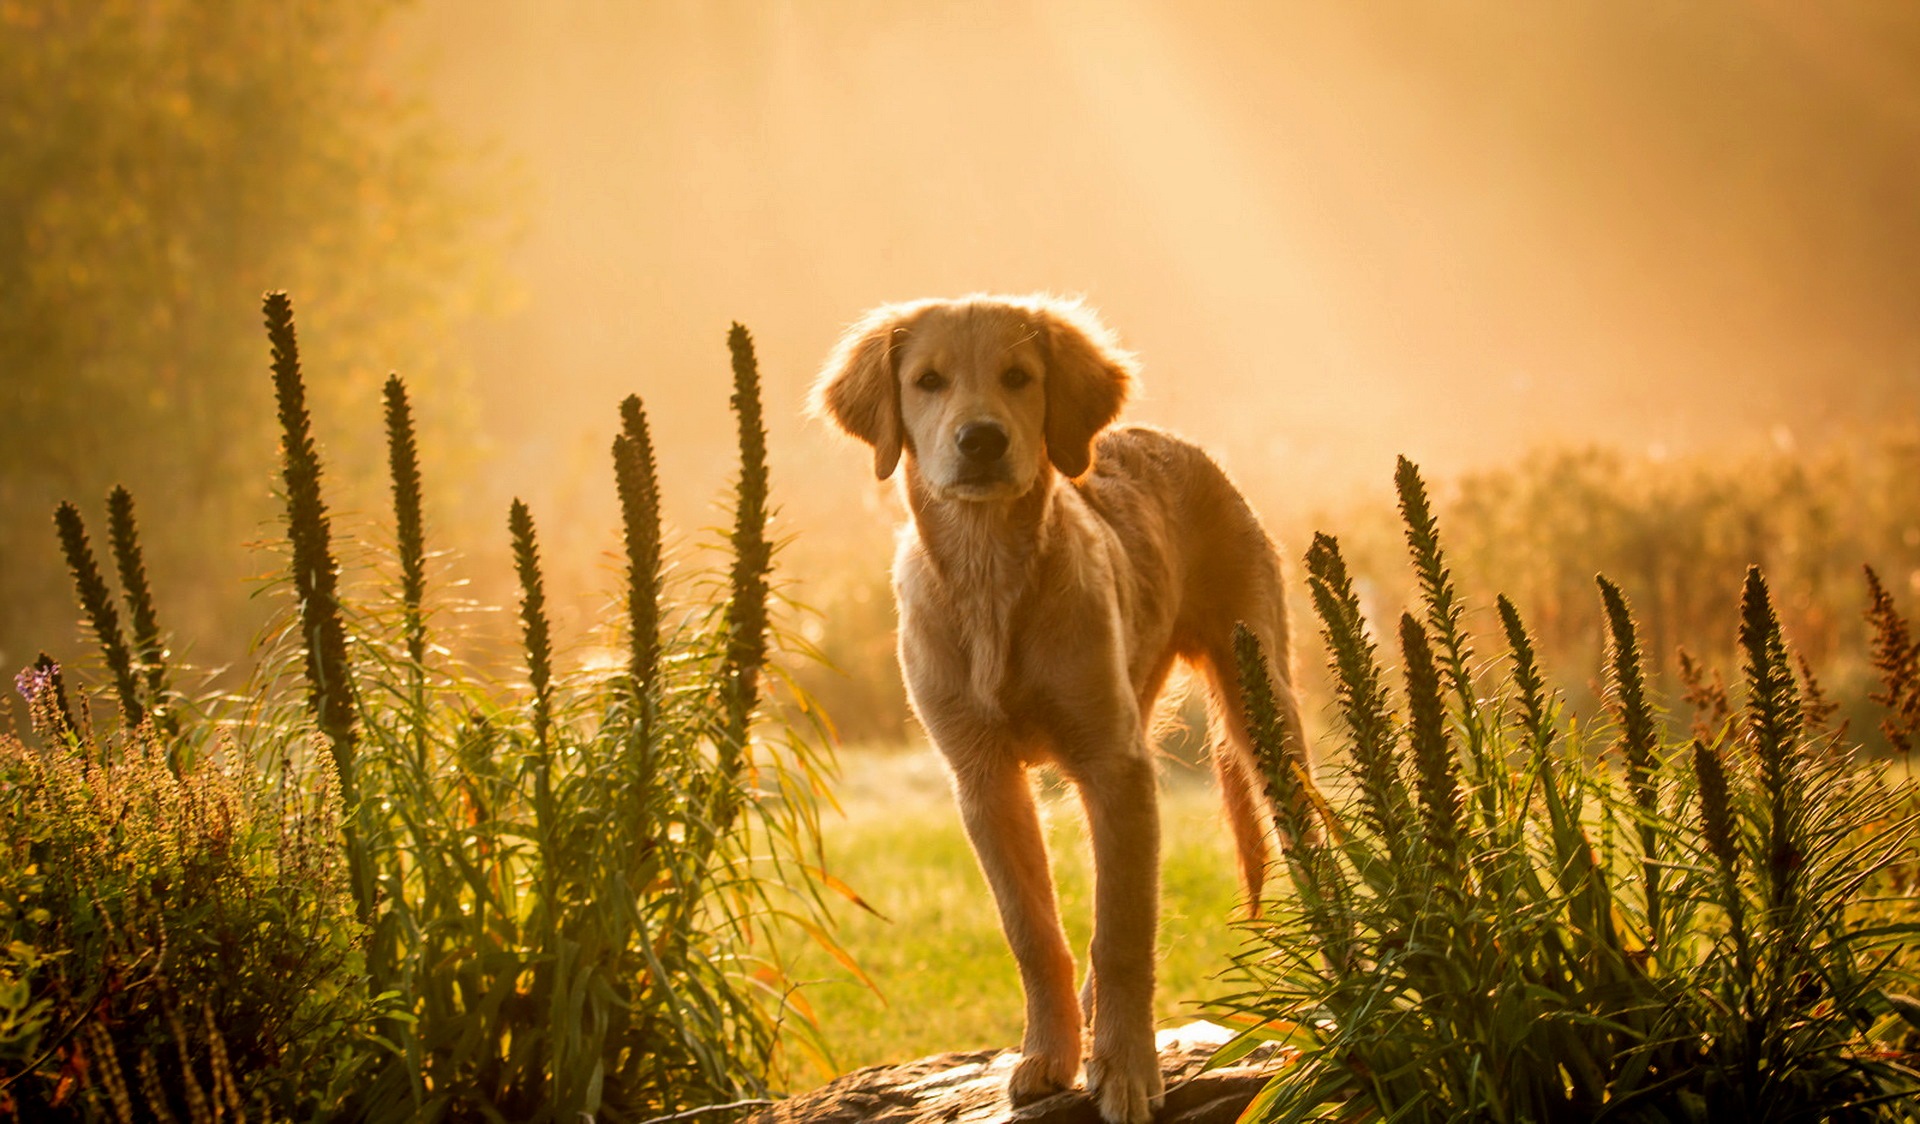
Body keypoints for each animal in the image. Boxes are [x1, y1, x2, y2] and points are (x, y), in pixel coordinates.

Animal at [802, 293, 1313, 1114]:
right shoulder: (984, 779)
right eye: (928, 381)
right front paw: (1051, 1055)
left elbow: (1123, 930)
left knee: (1310, 846)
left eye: (1018, 376)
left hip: (1262, 708)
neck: (991, 582)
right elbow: (1034, 930)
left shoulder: (1116, 766)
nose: (981, 439)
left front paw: (1127, 1069)